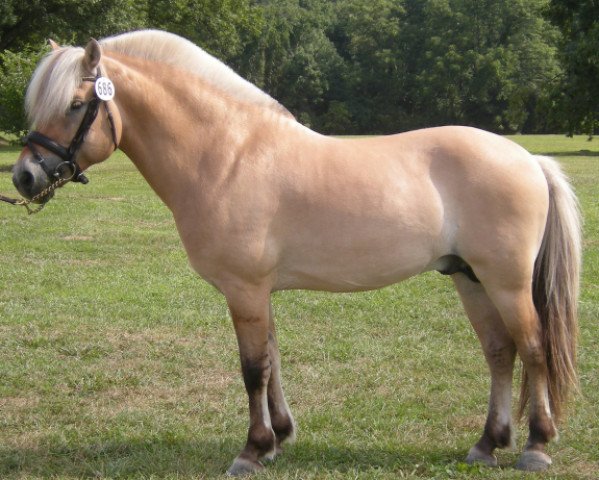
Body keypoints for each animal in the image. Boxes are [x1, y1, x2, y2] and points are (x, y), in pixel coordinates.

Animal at [12, 31, 580, 474]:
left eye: (76, 105)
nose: (24, 177)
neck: (226, 156)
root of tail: (526, 157)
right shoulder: (259, 291)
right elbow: (273, 361)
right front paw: (278, 438)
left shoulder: (243, 289)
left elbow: (253, 369)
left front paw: (251, 450)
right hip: (469, 277)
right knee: (500, 352)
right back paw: (487, 444)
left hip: (505, 281)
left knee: (534, 349)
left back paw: (535, 446)